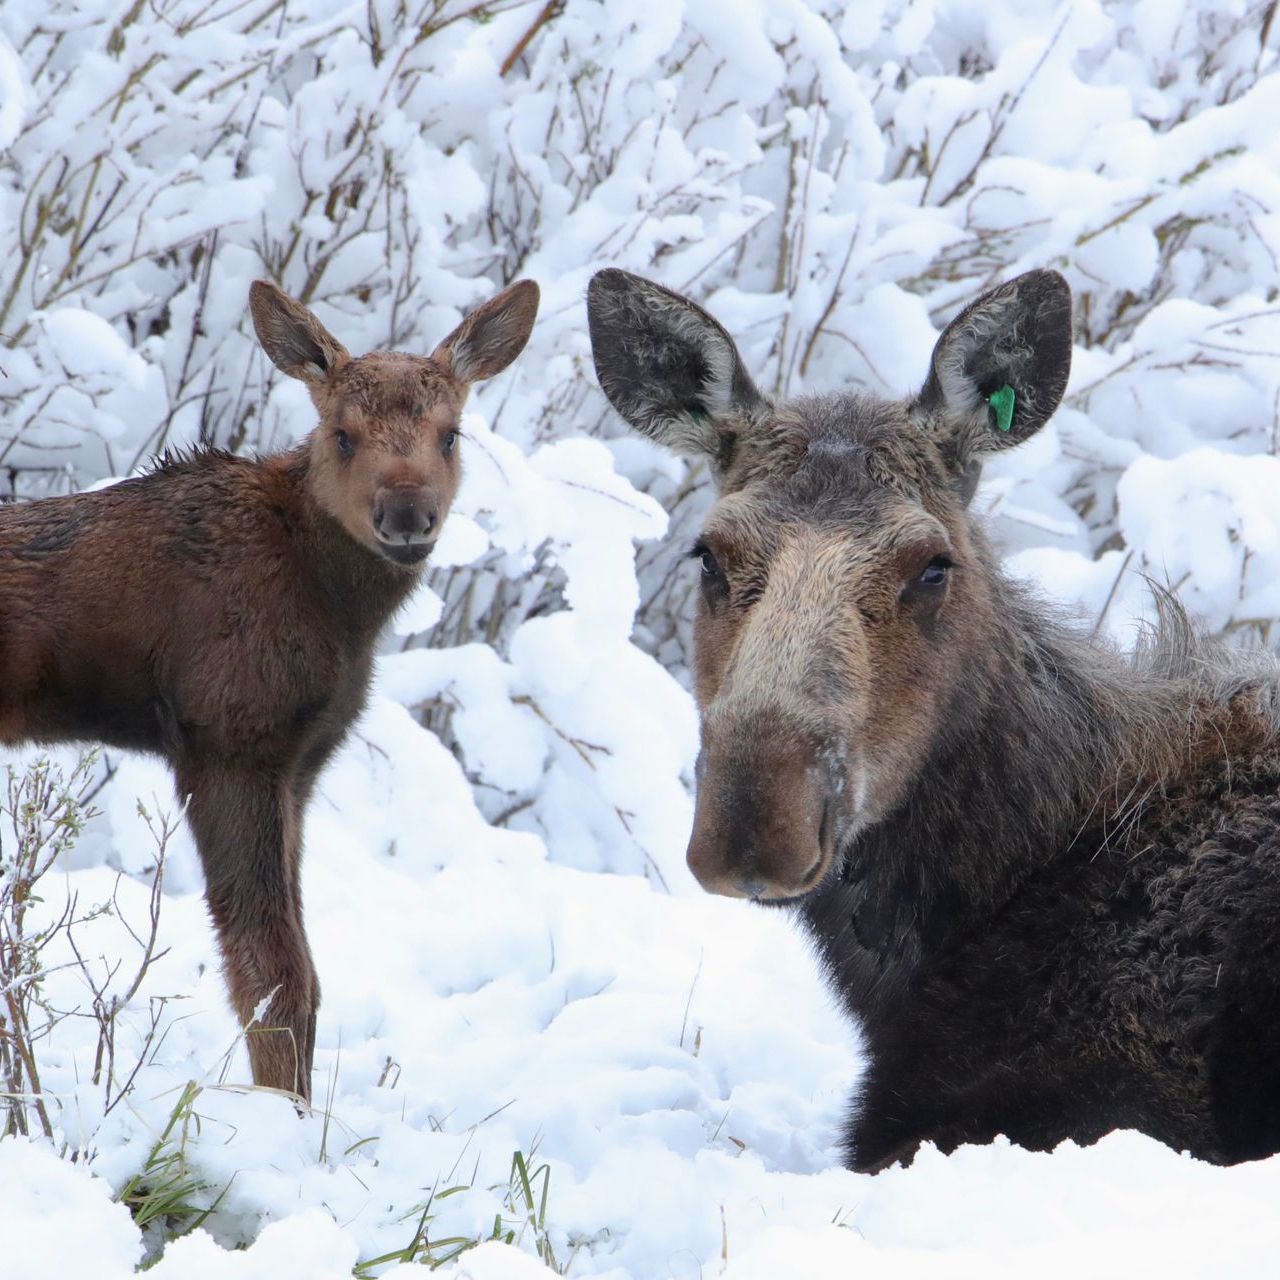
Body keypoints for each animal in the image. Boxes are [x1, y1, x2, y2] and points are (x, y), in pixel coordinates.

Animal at [0, 276, 539, 1101]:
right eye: (343, 434)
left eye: (451, 434)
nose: (407, 514)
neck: (335, 606)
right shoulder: (230, 741)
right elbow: (274, 975)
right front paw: (284, 1111)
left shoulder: (301, 767)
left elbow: (304, 974)